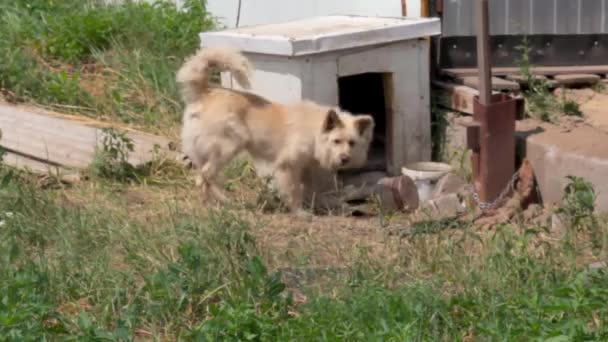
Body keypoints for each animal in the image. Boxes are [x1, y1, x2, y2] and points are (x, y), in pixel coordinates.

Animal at [176, 48, 376, 214]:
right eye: (336, 141)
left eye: (352, 143)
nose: (345, 158)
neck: (314, 130)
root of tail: (205, 91)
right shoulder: (288, 166)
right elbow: (294, 191)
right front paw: (299, 212)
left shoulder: (306, 167)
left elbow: (312, 190)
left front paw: (325, 205)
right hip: (227, 148)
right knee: (204, 177)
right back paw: (213, 206)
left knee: (207, 178)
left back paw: (221, 202)